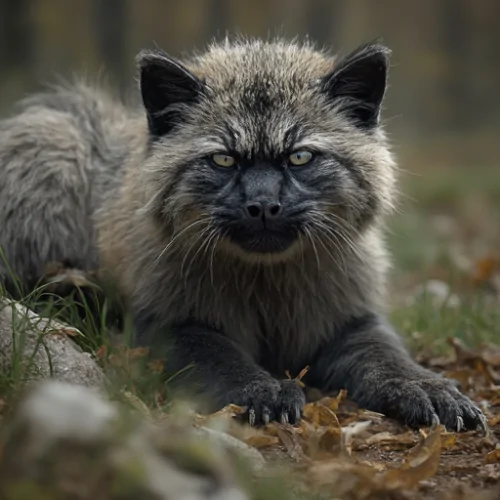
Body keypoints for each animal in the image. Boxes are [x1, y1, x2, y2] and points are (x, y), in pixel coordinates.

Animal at [0, 37, 486, 432]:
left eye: (300, 157)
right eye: (224, 160)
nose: (264, 206)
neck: (266, 285)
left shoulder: (351, 323)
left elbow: (389, 360)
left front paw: (429, 388)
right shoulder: (171, 326)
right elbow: (224, 360)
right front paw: (265, 391)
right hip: (53, 146)